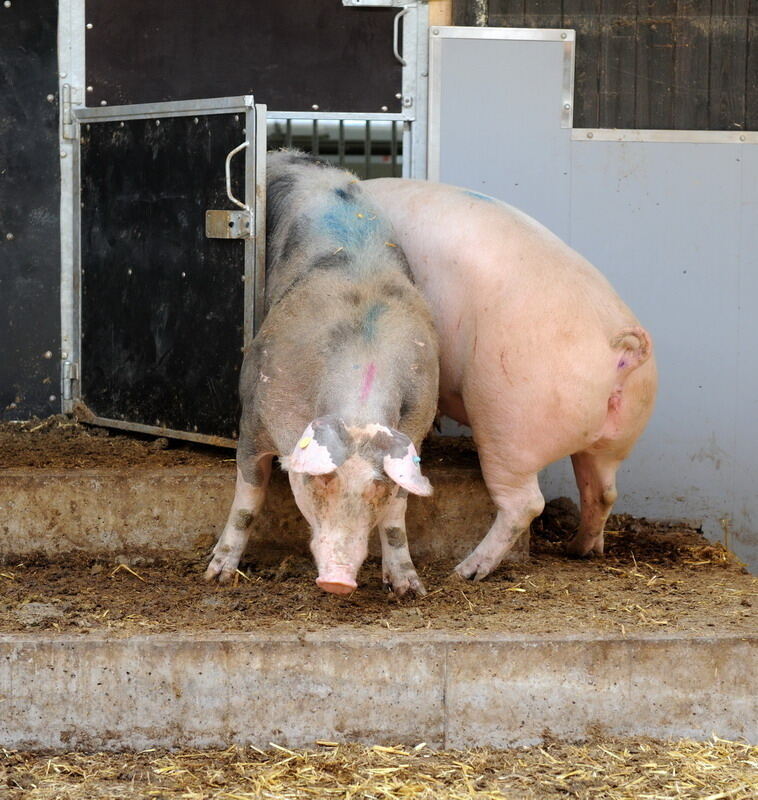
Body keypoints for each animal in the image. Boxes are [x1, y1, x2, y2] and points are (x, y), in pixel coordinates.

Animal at [364, 180, 660, 580]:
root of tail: (620, 351)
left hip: (508, 421)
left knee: (526, 504)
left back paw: (467, 570)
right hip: (616, 439)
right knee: (603, 490)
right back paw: (580, 549)